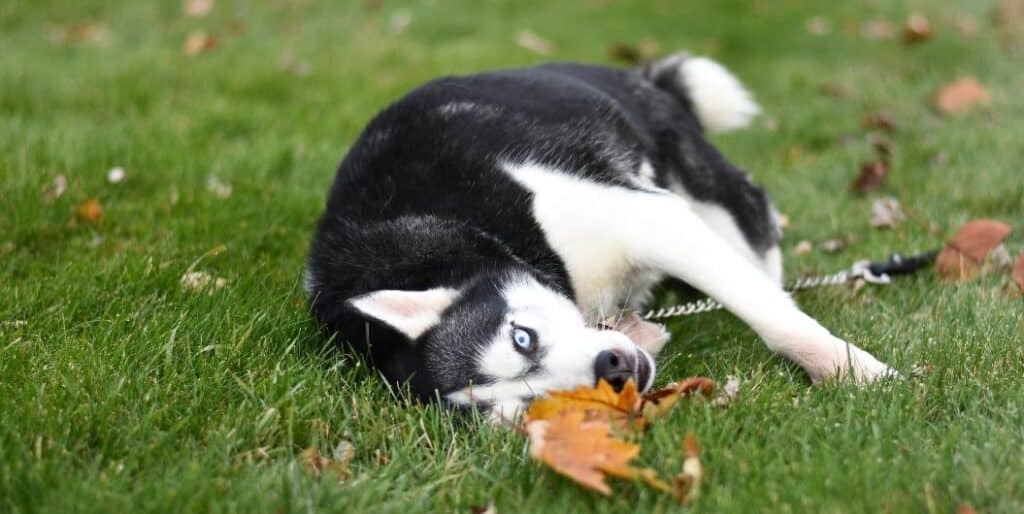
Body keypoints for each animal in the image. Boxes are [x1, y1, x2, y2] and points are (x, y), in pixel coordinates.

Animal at [305, 52, 897, 419]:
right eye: (532, 406)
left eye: (522, 338)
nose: (610, 370)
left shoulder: (646, 216)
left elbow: (771, 316)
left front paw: (849, 371)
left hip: (685, 168)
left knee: (751, 213)